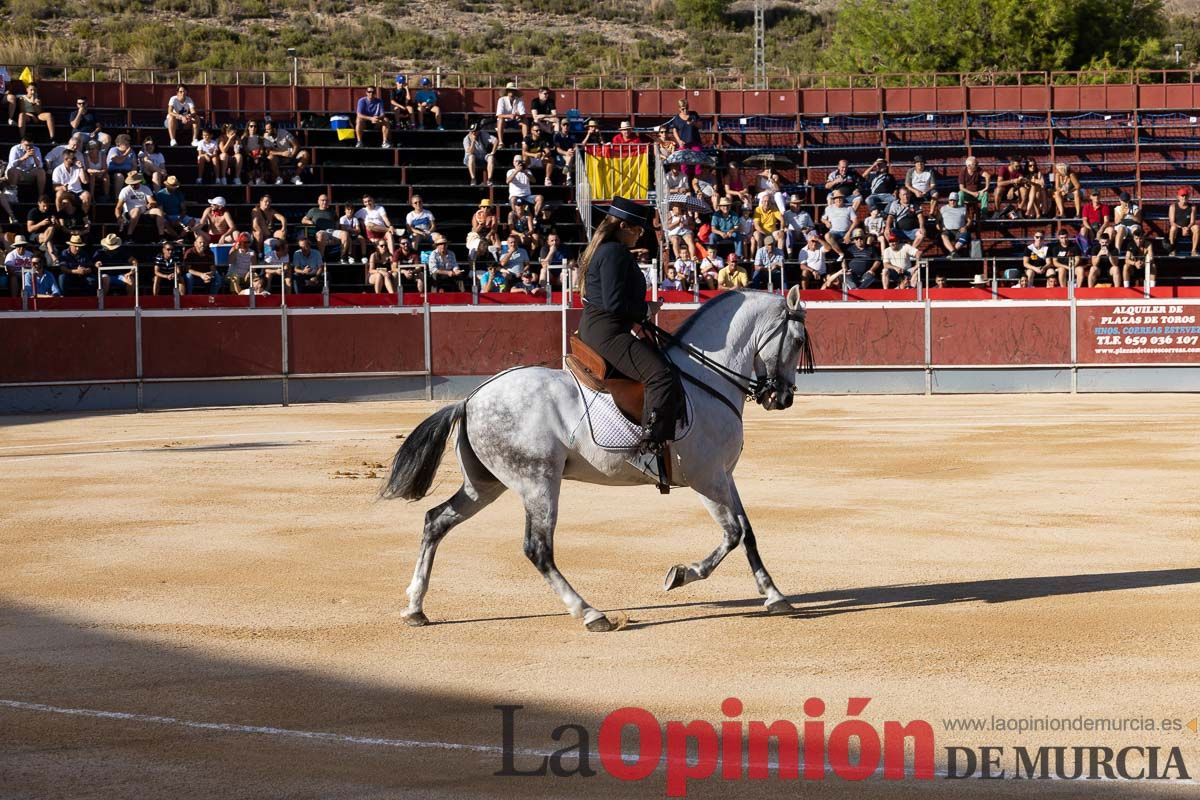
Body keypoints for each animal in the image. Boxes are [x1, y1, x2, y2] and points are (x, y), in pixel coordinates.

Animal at [381, 287, 816, 633]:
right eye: (796, 341)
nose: (783, 398)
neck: (705, 382)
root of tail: (470, 400)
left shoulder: (725, 477)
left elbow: (748, 532)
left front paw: (774, 594)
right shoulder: (705, 478)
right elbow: (732, 533)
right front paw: (681, 575)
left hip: (486, 484)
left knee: (436, 521)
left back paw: (415, 607)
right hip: (537, 483)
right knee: (538, 549)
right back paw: (591, 613)